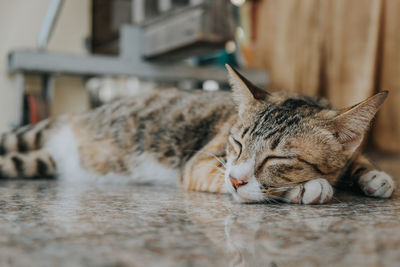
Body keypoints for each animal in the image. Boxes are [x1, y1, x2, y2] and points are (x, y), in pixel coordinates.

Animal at [0, 66, 394, 204]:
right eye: (237, 144)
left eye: (277, 157)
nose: (236, 179)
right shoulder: (203, 162)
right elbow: (224, 176)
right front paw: (307, 187)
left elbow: (355, 160)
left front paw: (374, 176)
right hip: (31, 137)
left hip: (35, 162)